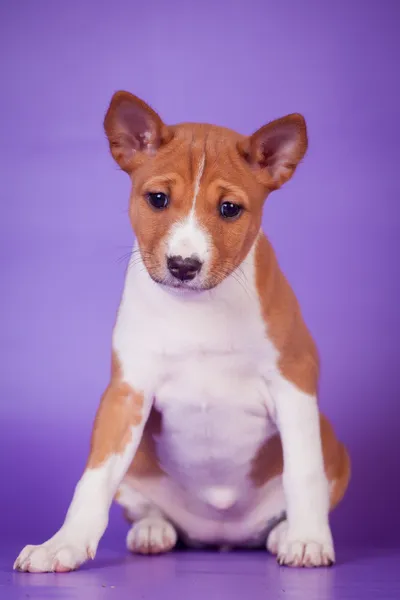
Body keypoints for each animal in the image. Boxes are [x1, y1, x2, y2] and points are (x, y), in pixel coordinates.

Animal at [14, 90, 348, 572]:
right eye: (157, 199)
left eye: (229, 209)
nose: (183, 266)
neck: (198, 308)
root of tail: (220, 536)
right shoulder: (125, 393)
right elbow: (94, 479)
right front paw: (63, 544)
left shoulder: (294, 380)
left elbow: (303, 472)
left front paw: (308, 540)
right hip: (137, 461)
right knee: (145, 506)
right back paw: (153, 530)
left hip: (332, 443)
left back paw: (285, 532)